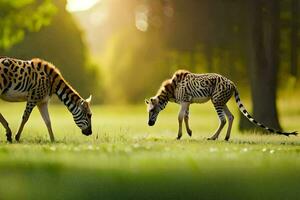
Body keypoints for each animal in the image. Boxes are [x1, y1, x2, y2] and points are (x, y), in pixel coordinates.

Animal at [146, 70, 298, 141]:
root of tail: (232, 83)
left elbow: (179, 117)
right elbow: (186, 117)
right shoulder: (187, 102)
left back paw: (213, 137)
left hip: (216, 101)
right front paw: (189, 132)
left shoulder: (184, 101)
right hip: (221, 101)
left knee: (223, 119)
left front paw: (179, 135)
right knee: (230, 117)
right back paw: (226, 137)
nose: (149, 124)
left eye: (152, 110)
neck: (171, 88)